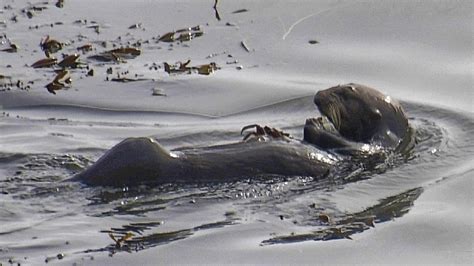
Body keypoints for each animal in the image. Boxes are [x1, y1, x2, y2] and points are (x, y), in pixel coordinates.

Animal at [71, 84, 414, 186]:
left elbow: (342, 145)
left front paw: (314, 124)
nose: (318, 96)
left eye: (346, 92)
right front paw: (268, 130)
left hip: (145, 155)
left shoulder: (372, 152)